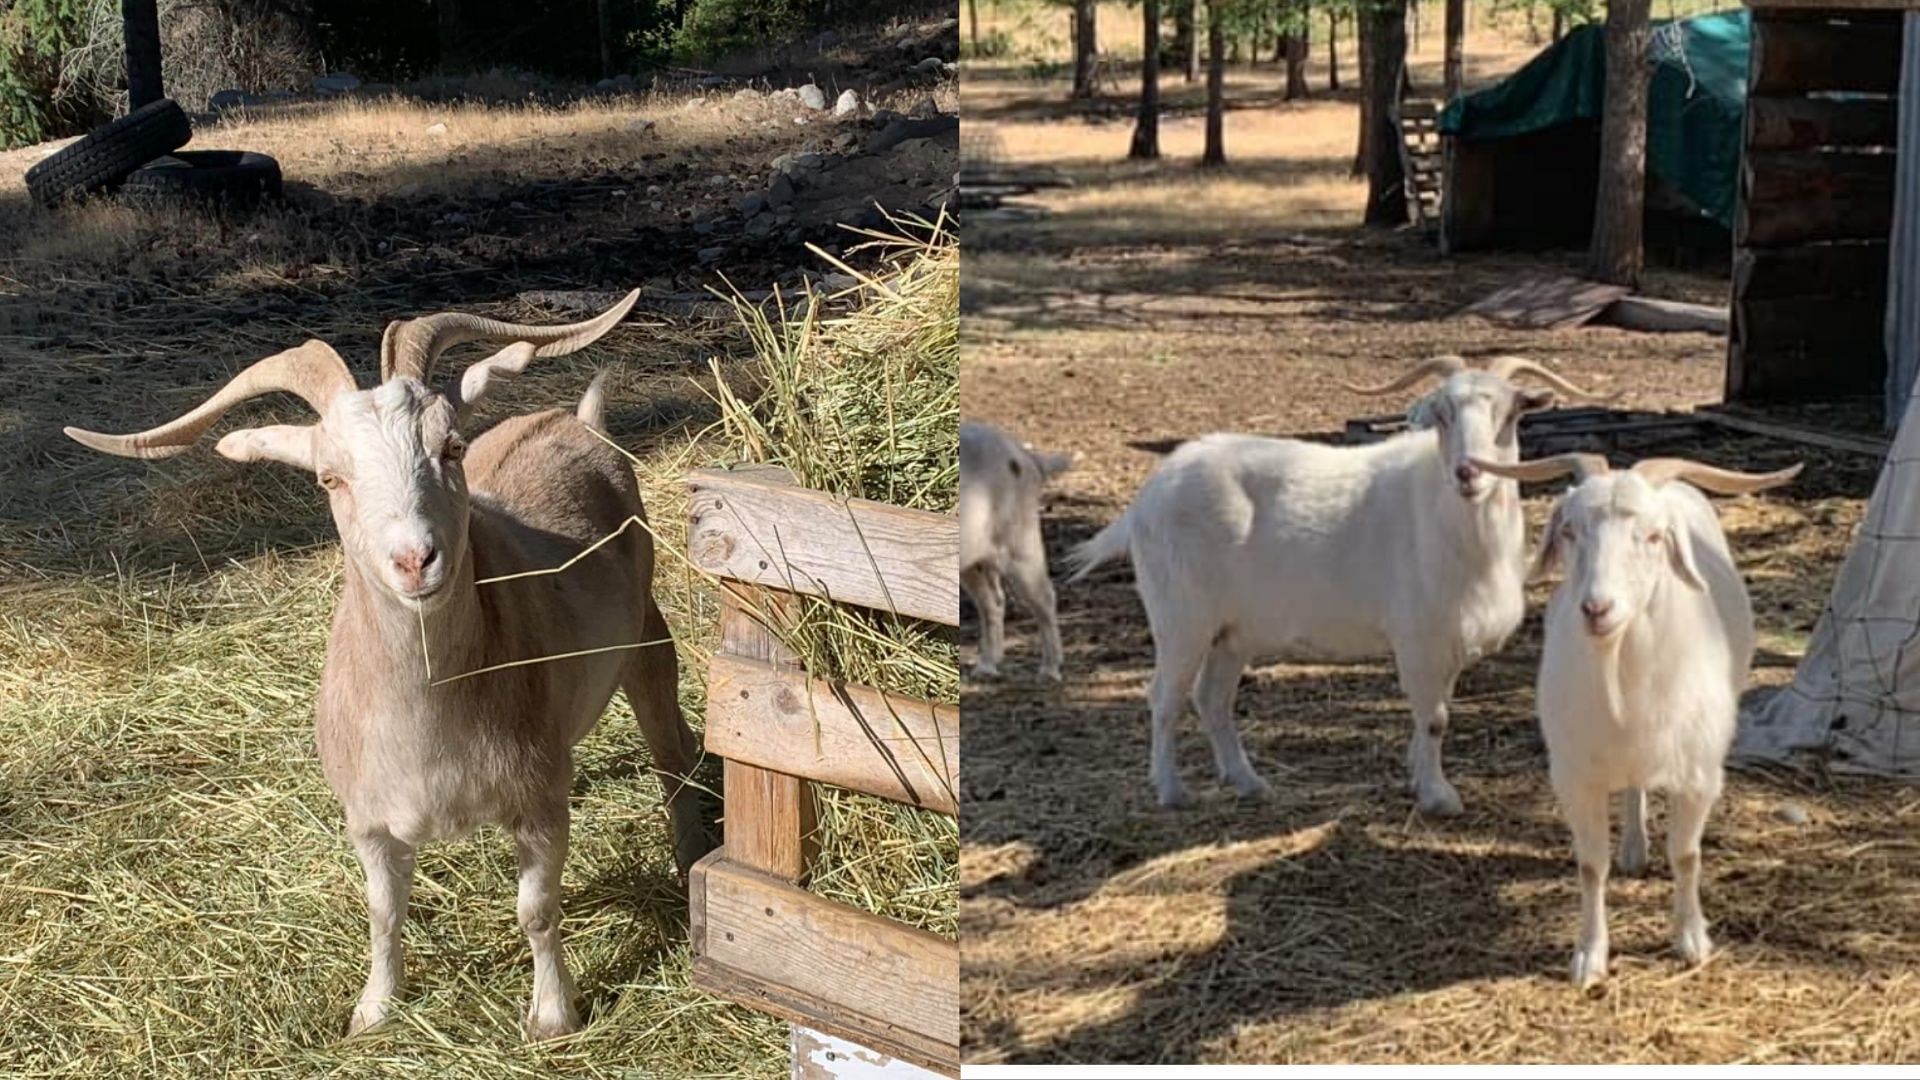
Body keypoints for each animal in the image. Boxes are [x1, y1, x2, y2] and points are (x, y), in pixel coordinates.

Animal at [67, 292, 718, 1037]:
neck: (430, 717)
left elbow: (536, 910)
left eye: (451, 446)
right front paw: (373, 1010)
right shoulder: (370, 818)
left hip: (647, 636)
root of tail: (575, 422)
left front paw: (553, 1017)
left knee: (672, 750)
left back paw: (689, 858)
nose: (414, 559)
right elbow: (382, 913)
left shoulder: (537, 801)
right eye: (330, 477)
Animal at [967, 418, 1075, 676]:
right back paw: (986, 668)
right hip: (977, 557)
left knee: (1045, 596)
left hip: (1020, 541)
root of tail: (1029, 459)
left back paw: (1049, 670)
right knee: (992, 601)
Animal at [1067, 353, 1605, 807]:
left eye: (1511, 412)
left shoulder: (1449, 641)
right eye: (1442, 413)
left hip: (1232, 632)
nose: (1468, 472)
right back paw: (1172, 790)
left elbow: (1434, 713)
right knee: (1164, 697)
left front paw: (1417, 778)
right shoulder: (1417, 638)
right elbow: (1434, 719)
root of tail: (1147, 498)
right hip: (1181, 618)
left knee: (1212, 699)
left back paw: (1248, 781)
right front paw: (1438, 796)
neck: (1453, 524)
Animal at [1466, 449, 1797, 991]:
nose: (1597, 608)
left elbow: (1686, 855)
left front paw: (1691, 941)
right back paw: (1633, 850)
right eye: (1570, 530)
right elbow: (1589, 866)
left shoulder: (1699, 775)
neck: (1622, 677)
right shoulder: (1575, 778)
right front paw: (1589, 957)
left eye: (1654, 536)